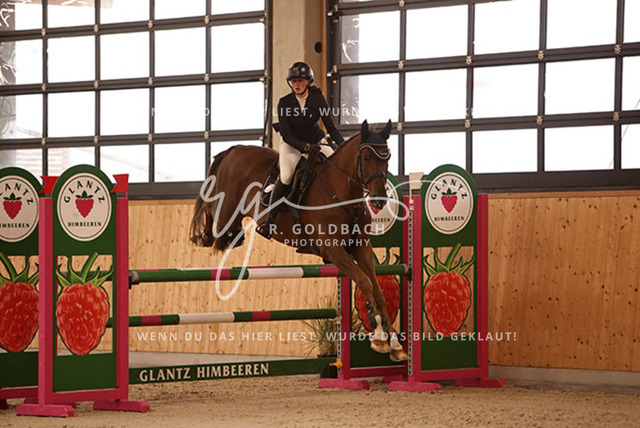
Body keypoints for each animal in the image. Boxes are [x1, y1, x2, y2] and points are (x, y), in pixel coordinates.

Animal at [189, 120, 407, 362]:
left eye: (387, 157)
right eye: (367, 157)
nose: (379, 201)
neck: (342, 193)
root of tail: (236, 150)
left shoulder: (361, 249)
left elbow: (377, 289)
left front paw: (395, 344)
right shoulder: (334, 251)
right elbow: (365, 282)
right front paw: (378, 336)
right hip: (226, 212)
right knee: (212, 215)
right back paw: (202, 236)